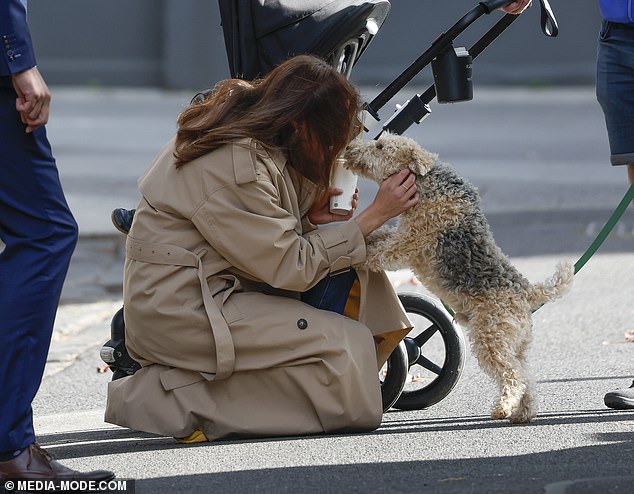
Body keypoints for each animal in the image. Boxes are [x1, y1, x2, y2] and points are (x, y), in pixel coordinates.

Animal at [344, 132, 572, 424]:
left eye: (381, 146)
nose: (350, 147)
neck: (424, 181)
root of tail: (526, 291)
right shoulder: (402, 233)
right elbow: (379, 235)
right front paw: (358, 238)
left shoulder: (409, 243)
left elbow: (380, 250)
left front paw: (356, 255)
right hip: (515, 344)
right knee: (527, 380)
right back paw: (523, 413)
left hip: (491, 339)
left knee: (513, 377)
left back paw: (502, 408)